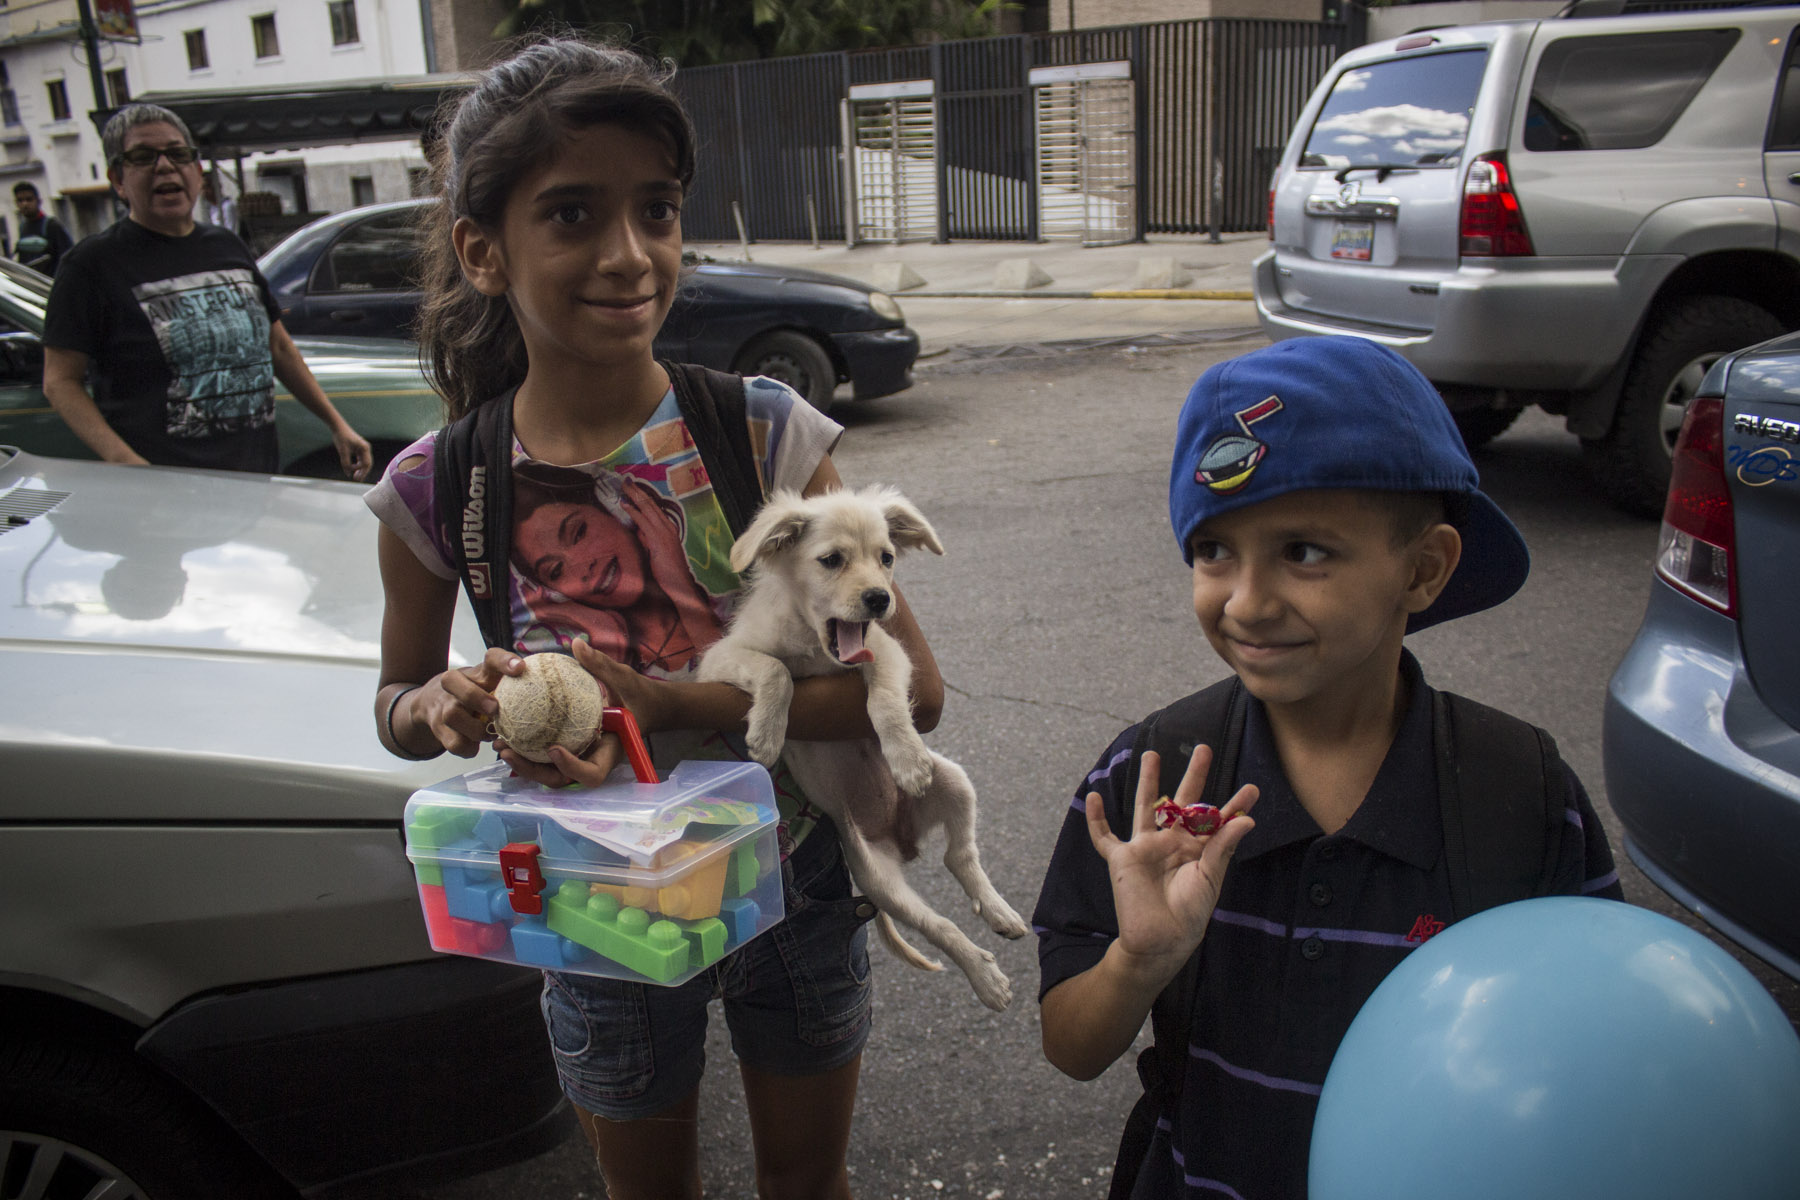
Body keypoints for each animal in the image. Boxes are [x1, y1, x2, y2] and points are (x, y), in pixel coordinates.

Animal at [705, 482, 1044, 1007]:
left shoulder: (886, 650)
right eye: (831, 560)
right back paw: (985, 974)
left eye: (886, 557)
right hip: (876, 878)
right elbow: (775, 671)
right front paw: (765, 733)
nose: (881, 599)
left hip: (955, 780)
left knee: (960, 857)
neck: (814, 644)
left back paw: (997, 920)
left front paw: (906, 760)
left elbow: (884, 701)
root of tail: (904, 838)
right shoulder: (719, 660)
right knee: (942, 923)